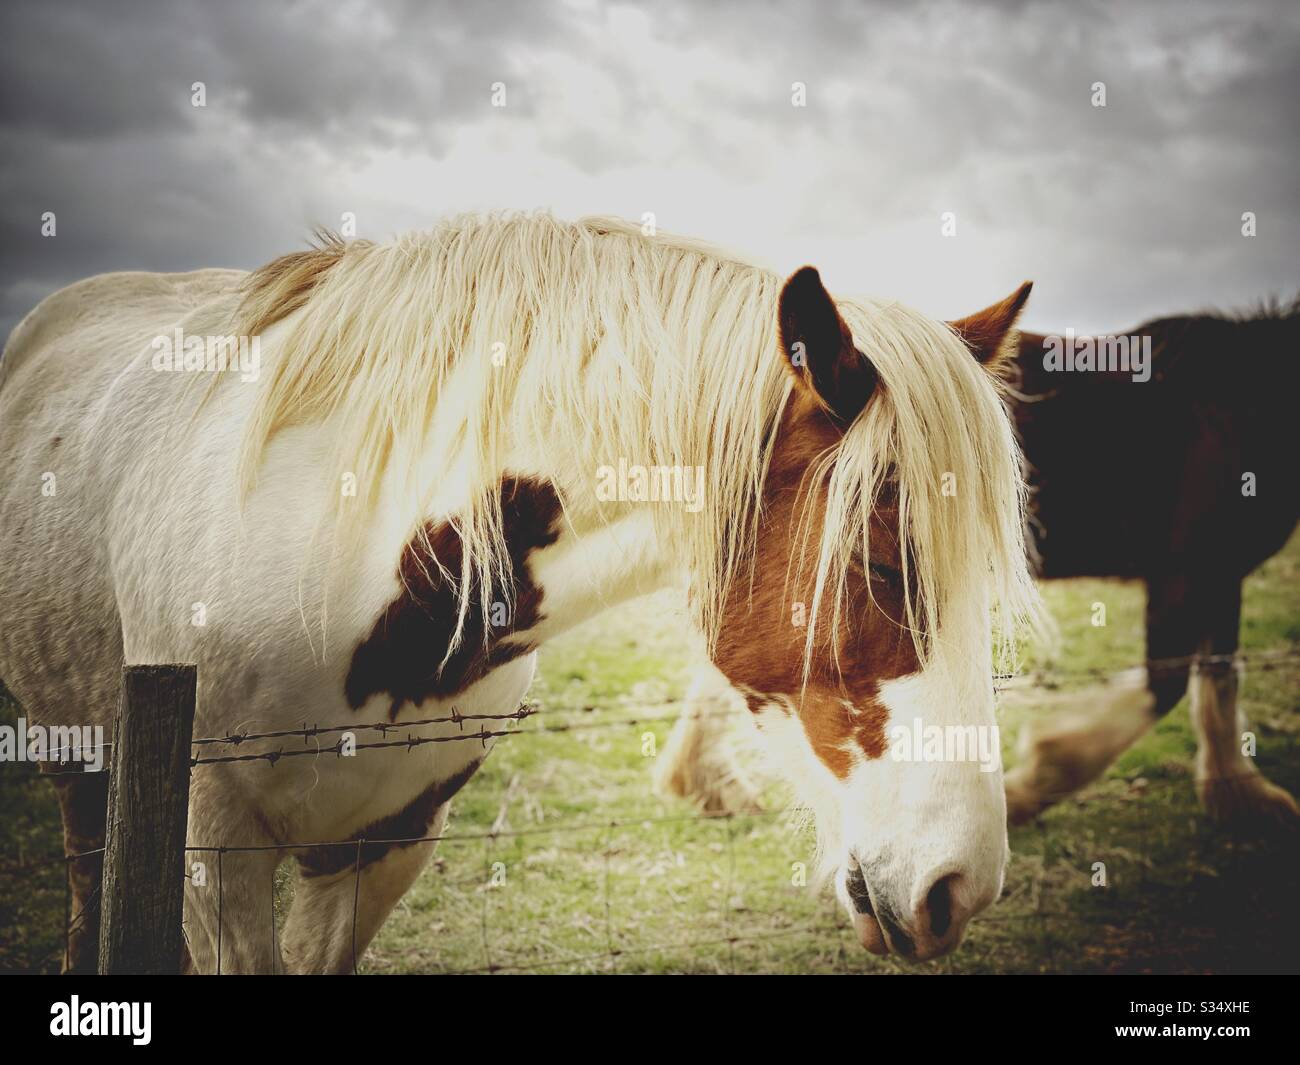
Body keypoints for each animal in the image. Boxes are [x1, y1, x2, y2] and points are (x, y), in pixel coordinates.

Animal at [658, 301, 1300, 825]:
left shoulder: (1218, 570)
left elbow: (1218, 676)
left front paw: (1237, 789)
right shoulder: (1189, 569)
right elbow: (1169, 683)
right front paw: (1038, 777)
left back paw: (705, 780)